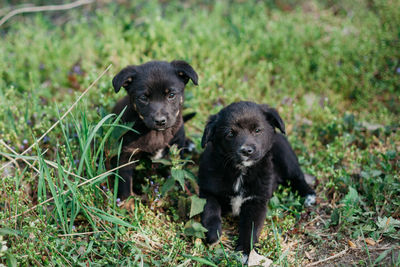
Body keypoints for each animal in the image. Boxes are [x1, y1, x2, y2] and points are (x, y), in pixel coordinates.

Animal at [110, 59, 198, 200]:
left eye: (171, 95)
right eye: (143, 98)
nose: (160, 121)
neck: (157, 134)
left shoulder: (175, 152)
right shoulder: (126, 155)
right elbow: (126, 185)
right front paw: (127, 202)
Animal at [199, 101, 316, 256]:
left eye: (257, 130)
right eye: (230, 134)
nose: (246, 151)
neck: (241, 171)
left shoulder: (256, 201)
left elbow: (250, 228)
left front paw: (245, 250)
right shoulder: (207, 190)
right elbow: (211, 209)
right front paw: (212, 233)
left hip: (286, 157)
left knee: (297, 178)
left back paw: (309, 195)